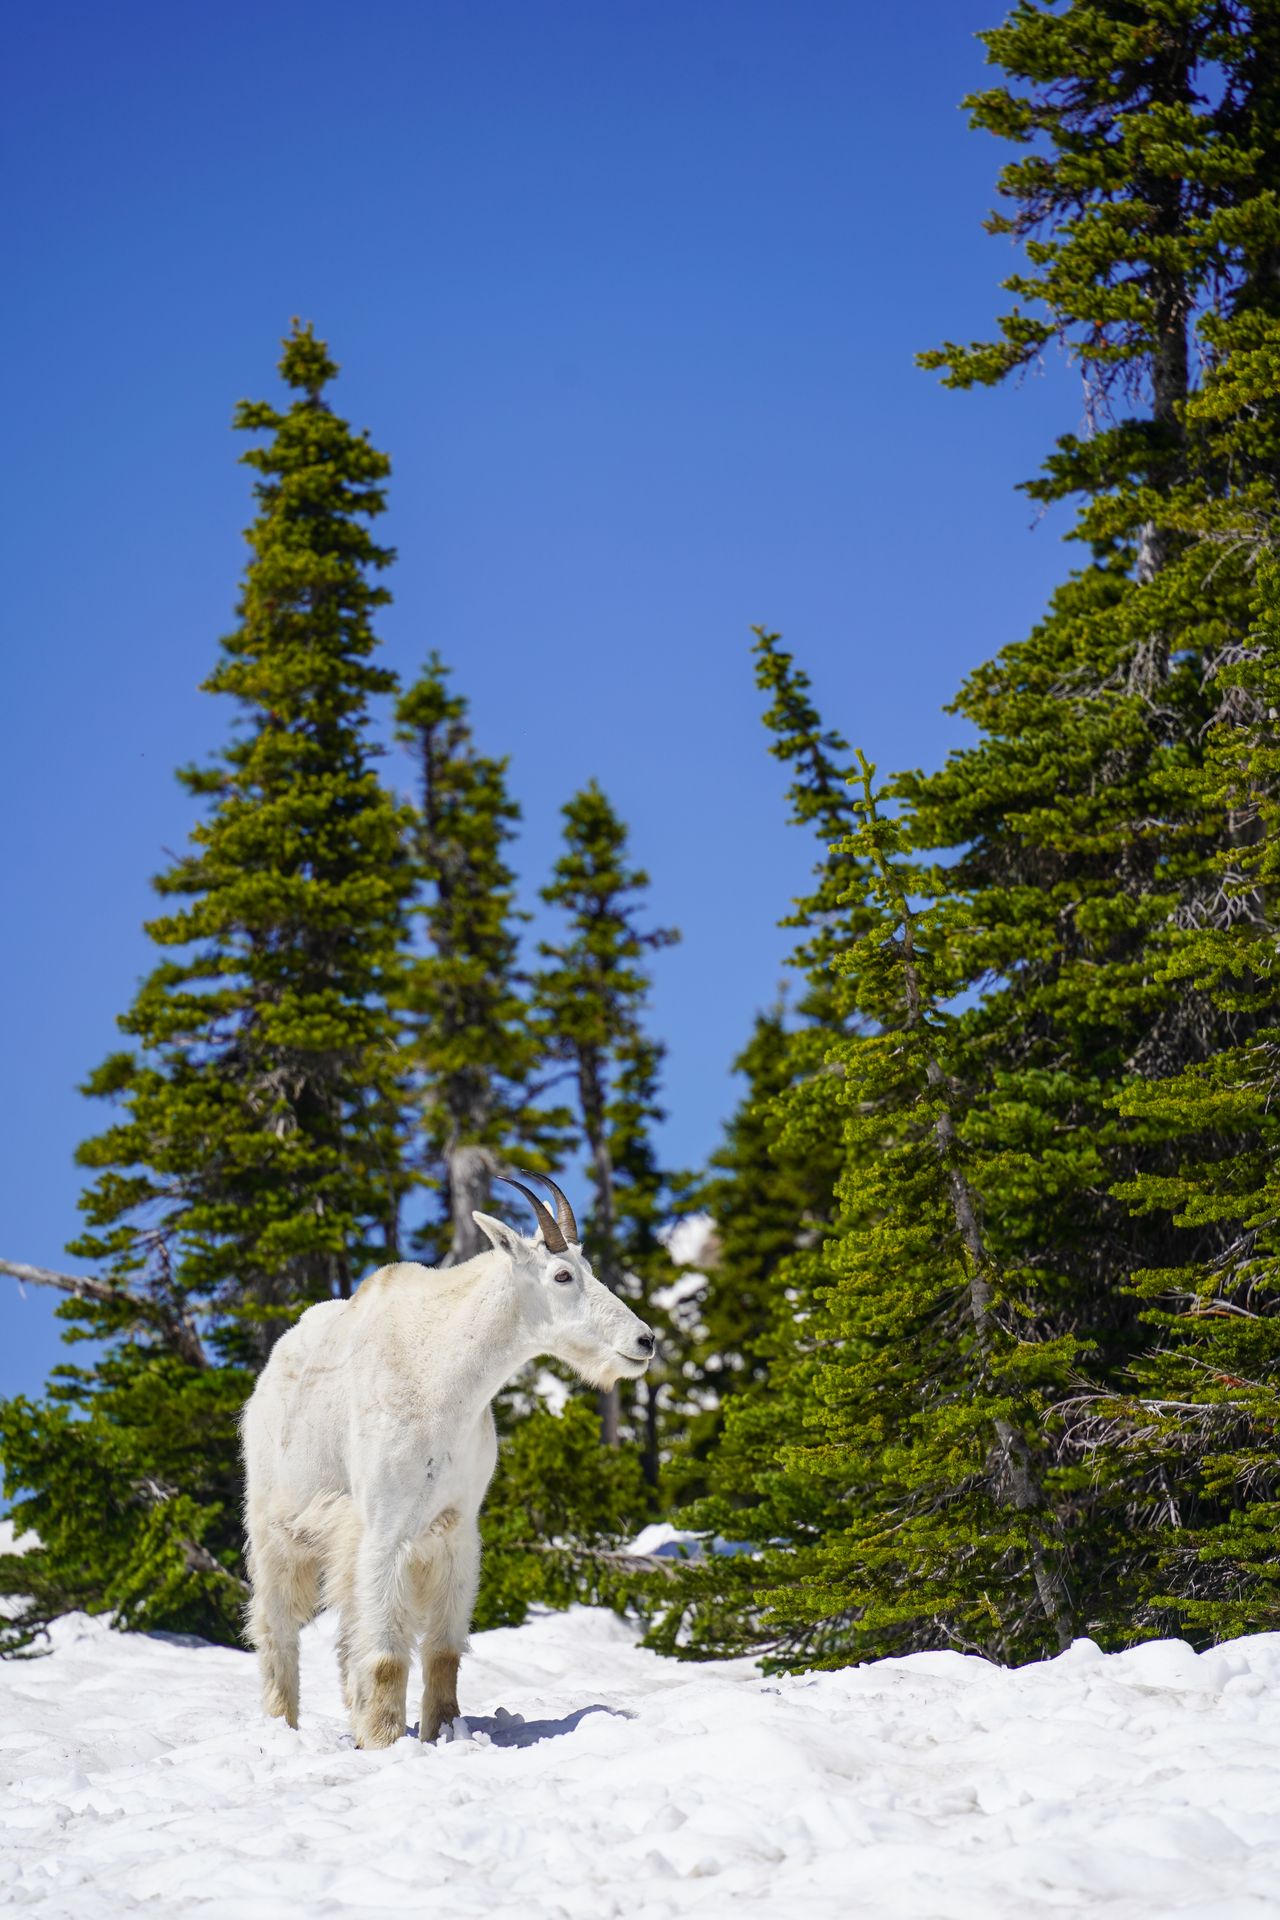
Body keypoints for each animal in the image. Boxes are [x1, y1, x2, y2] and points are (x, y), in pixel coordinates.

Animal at [240, 1172, 655, 1748]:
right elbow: (387, 1656)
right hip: (275, 1528)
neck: (444, 1376)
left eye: (588, 1268)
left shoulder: (457, 1530)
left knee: (346, 1633)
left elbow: (442, 1652)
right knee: (276, 1629)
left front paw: (443, 1733)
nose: (645, 1340)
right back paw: (283, 1726)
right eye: (562, 1274)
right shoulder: (385, 1530)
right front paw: (385, 1742)